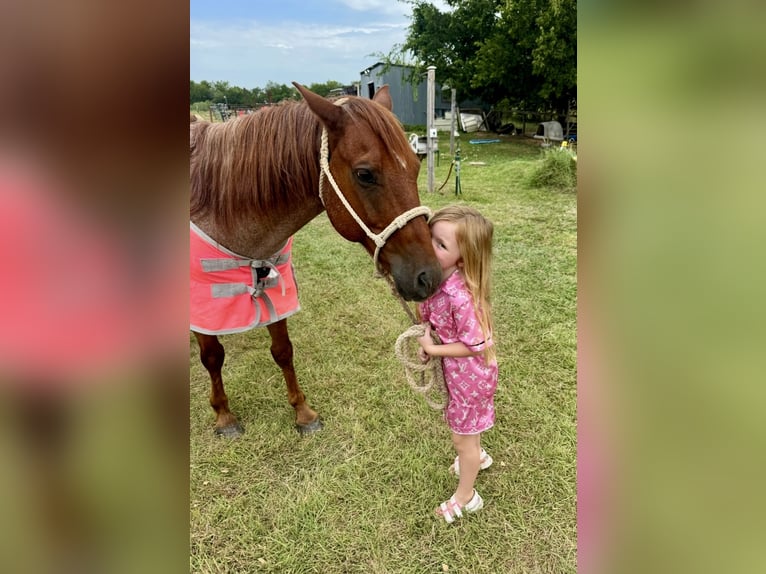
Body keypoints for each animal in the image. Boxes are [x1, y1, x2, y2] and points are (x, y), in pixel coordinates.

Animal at [190, 82, 441, 436]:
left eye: (417, 167)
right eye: (365, 174)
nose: (429, 276)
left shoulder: (274, 282)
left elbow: (283, 351)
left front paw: (302, 411)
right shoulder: (201, 302)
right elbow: (212, 356)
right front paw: (224, 415)